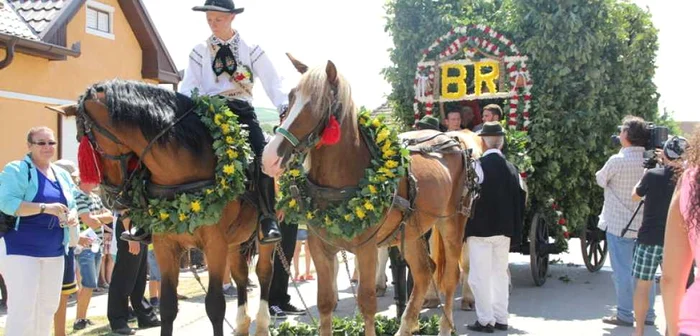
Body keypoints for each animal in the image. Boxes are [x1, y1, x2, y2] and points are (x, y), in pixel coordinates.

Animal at [50, 80, 274, 334]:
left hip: (260, 237)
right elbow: (167, 307)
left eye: (83, 138)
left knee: (264, 272)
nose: (110, 197)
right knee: (240, 275)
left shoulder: (215, 244)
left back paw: (262, 323)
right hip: (237, 241)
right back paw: (243, 323)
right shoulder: (165, 246)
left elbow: (215, 307)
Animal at [262, 57, 482, 336]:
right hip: (411, 231)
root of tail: (454, 139)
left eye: (320, 104)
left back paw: (445, 325)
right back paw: (406, 326)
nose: (270, 156)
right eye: (291, 97)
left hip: (452, 224)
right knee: (424, 273)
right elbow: (325, 303)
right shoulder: (320, 247)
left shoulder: (365, 248)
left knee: (452, 273)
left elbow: (367, 303)